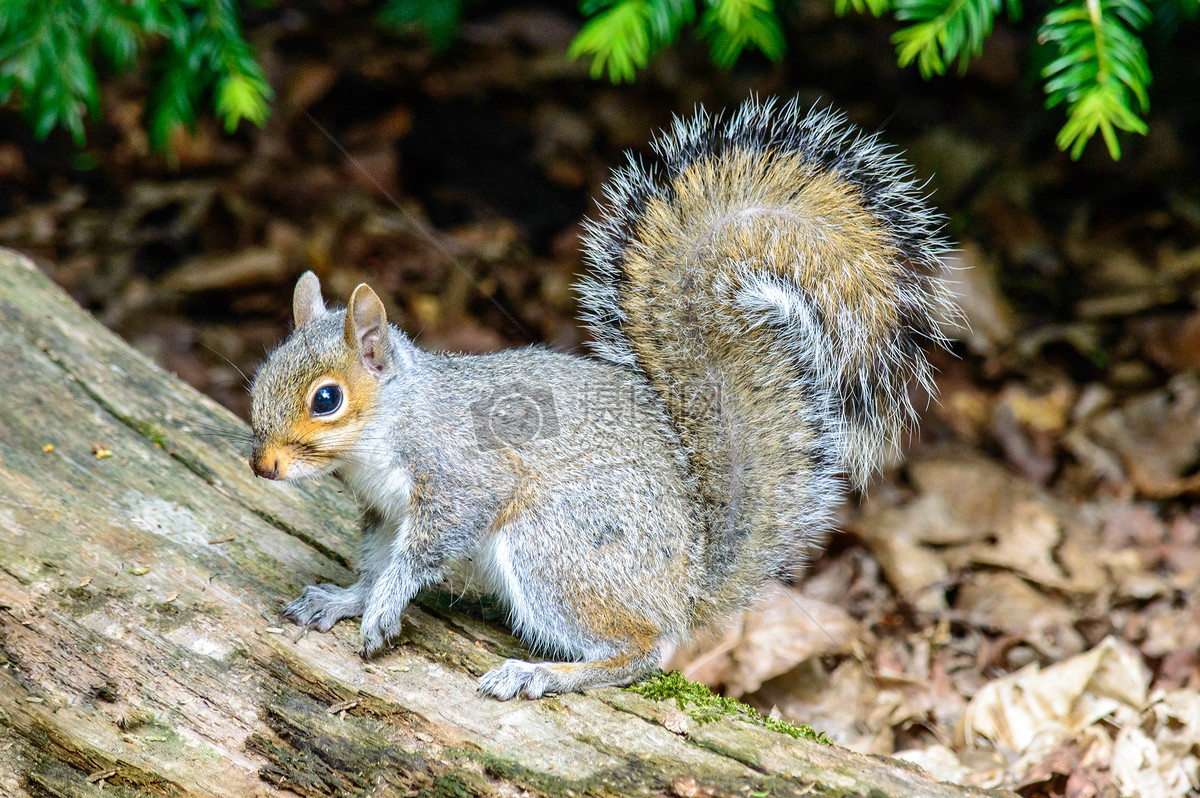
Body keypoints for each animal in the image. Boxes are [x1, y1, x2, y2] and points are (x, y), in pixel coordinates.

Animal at [250, 97, 955, 696]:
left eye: (326, 399)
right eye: (259, 378)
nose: (261, 466)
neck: (387, 429)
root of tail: (687, 588)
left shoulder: (460, 479)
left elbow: (420, 554)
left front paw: (382, 611)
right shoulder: (383, 513)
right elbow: (374, 563)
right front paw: (346, 599)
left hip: (555, 548)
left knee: (642, 651)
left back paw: (541, 673)